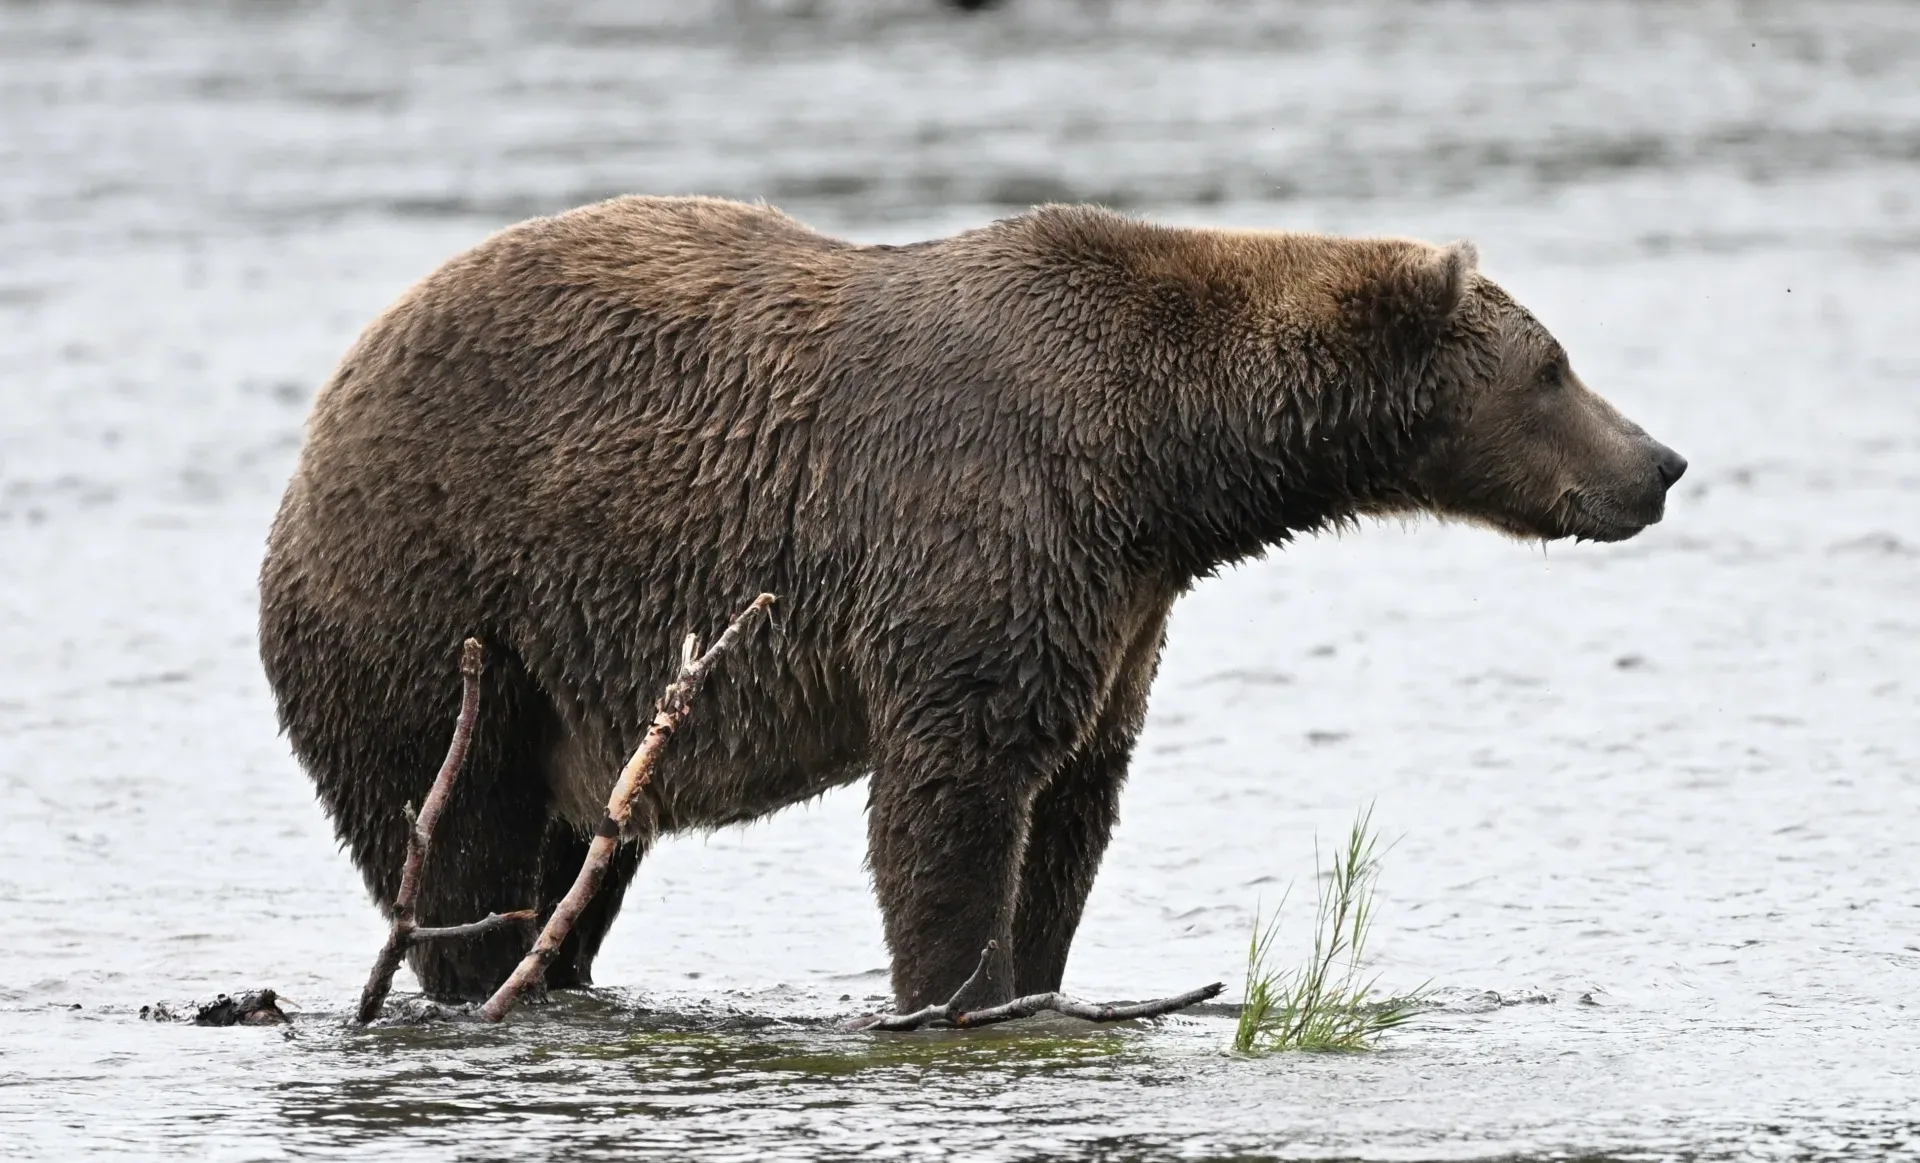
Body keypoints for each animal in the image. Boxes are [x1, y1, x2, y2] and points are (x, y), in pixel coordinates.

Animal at [259, 196, 1685, 1011]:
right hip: (439, 602)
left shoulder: (1119, 601)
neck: (1164, 461)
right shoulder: (985, 527)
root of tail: (321, 422)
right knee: (456, 835)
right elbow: (958, 792)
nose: (1660, 464)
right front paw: (958, 986)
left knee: (577, 863)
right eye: (1555, 365)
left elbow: (1072, 801)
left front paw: (1039, 976)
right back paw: (475, 974)